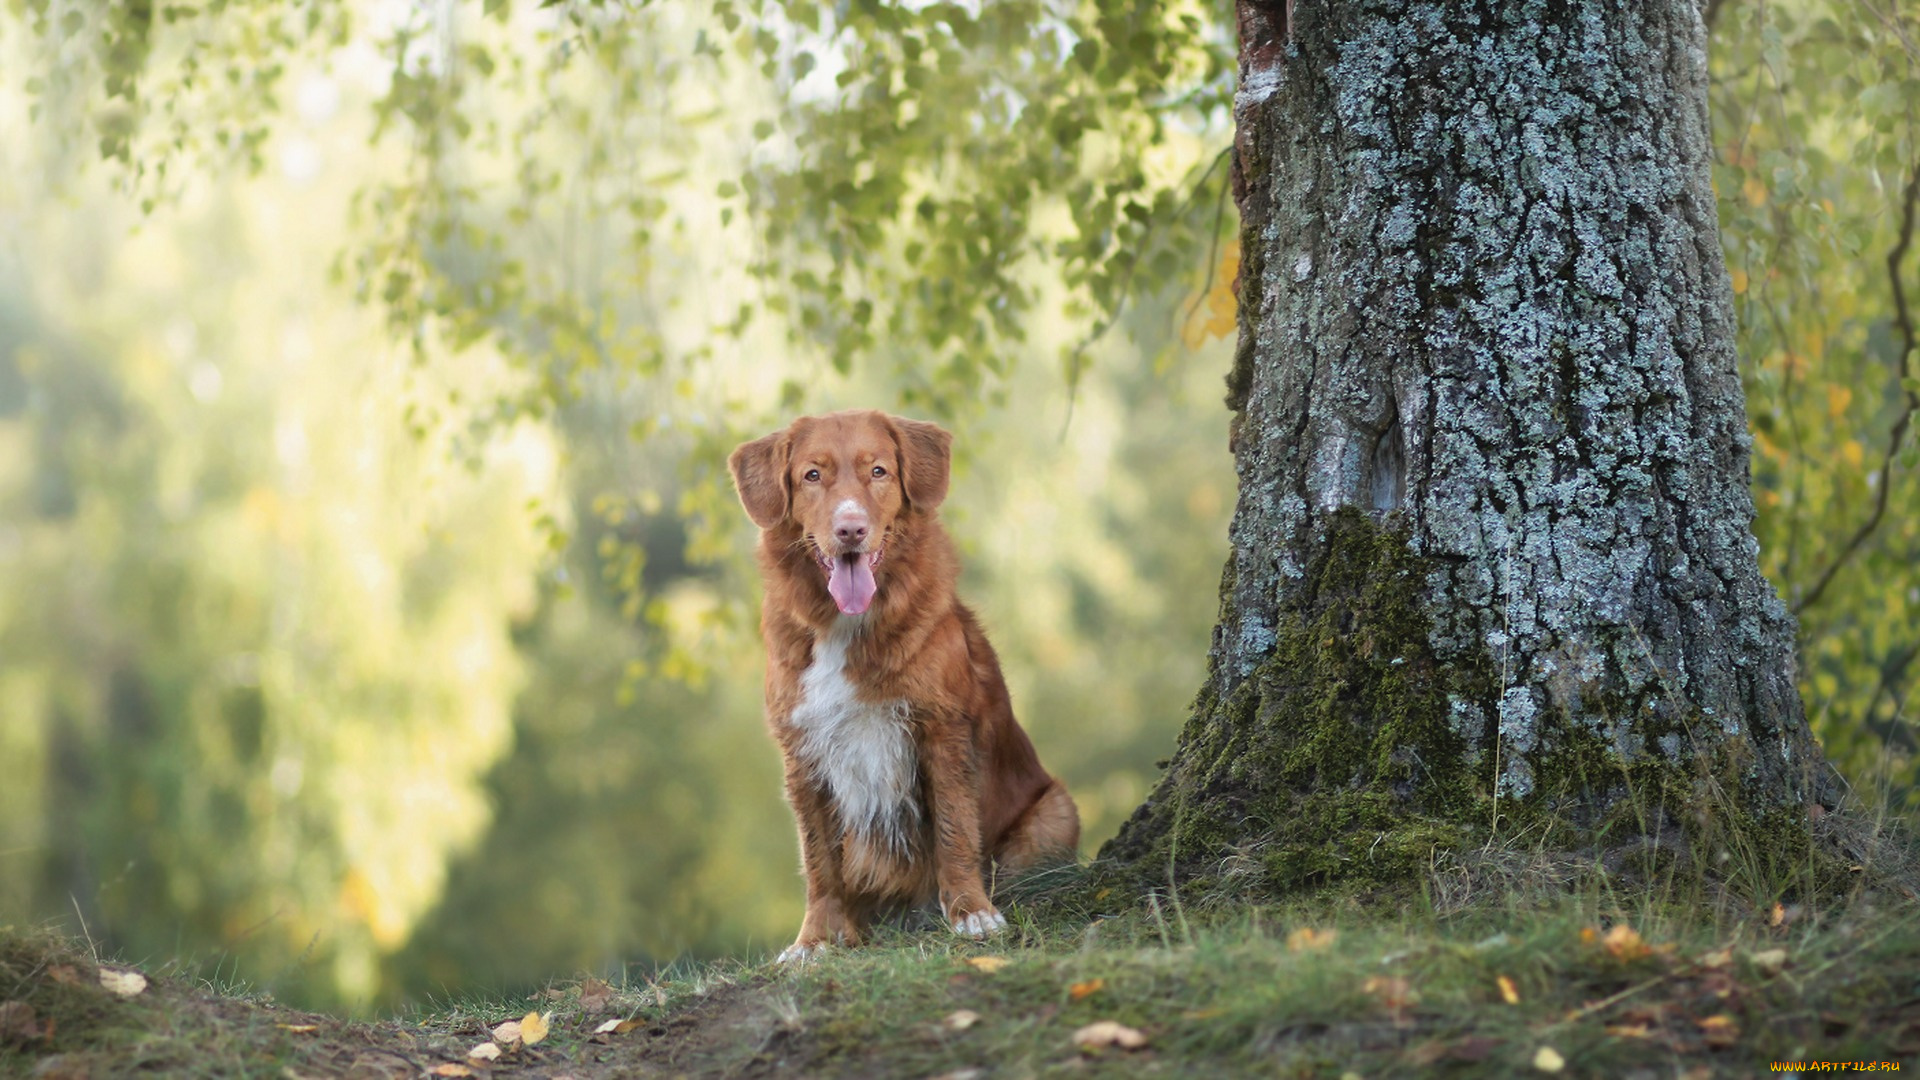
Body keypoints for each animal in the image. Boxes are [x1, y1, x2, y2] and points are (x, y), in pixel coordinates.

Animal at [725, 407, 1082, 953]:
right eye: (812, 475)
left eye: (879, 472)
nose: (851, 529)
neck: (846, 626)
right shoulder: (803, 750)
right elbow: (817, 859)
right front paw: (815, 940)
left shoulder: (941, 729)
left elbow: (955, 829)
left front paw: (971, 912)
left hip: (1055, 810)